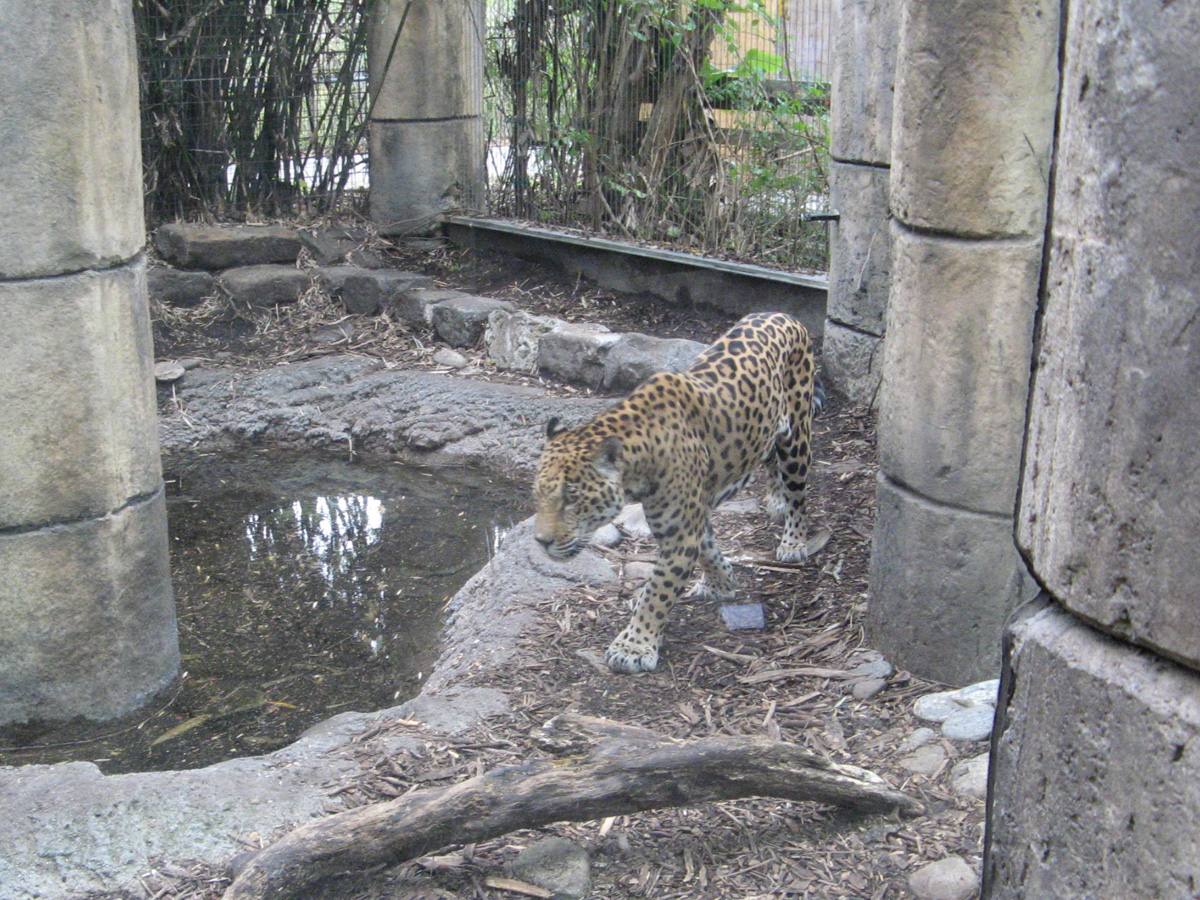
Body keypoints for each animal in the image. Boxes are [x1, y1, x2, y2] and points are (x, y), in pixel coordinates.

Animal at [533, 311, 819, 674]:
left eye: (571, 498)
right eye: (539, 494)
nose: (541, 542)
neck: (640, 460)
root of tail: (782, 314)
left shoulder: (680, 534)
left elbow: (659, 590)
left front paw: (633, 646)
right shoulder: (692, 516)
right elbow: (707, 547)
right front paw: (721, 582)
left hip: (797, 435)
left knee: (798, 492)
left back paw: (793, 541)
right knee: (769, 459)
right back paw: (775, 499)